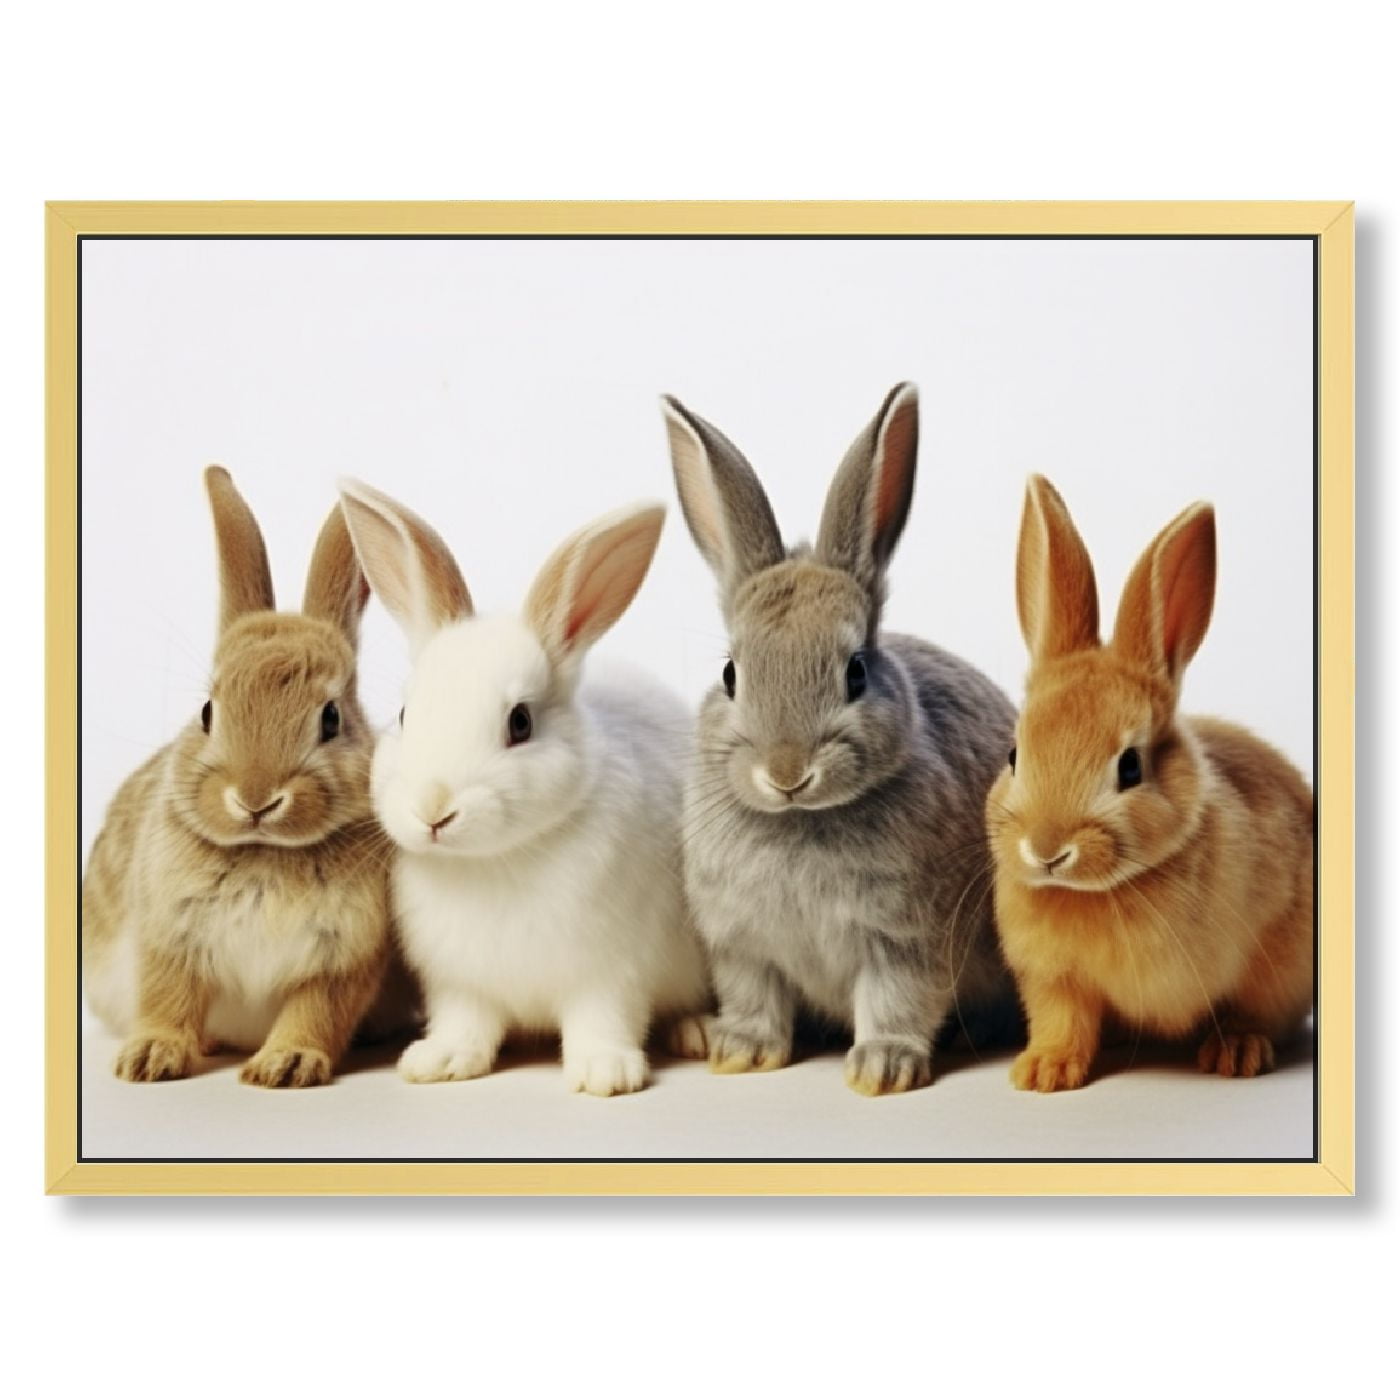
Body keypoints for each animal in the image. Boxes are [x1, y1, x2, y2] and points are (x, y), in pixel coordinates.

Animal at [82, 467, 404, 1088]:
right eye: (208, 712)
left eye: (331, 719)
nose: (255, 799)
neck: (265, 851)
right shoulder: (170, 938)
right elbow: (169, 998)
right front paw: (149, 1058)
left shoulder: (344, 958)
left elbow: (316, 1012)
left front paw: (286, 1065)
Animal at [337, 480, 711, 1097]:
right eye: (405, 714)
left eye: (520, 723)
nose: (434, 810)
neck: (496, 860)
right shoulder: (458, 982)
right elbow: (464, 1022)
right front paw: (437, 1061)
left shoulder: (610, 972)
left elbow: (603, 1019)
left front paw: (605, 1073)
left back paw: (697, 1030)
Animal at [660, 383, 1020, 1095]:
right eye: (731, 674)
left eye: (855, 671)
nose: (787, 772)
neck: (800, 821)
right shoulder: (743, 948)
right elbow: (756, 1000)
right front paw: (743, 1052)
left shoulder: (905, 941)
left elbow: (895, 1002)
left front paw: (882, 1069)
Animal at [986, 475, 1314, 1092]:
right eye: (1015, 755)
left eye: (1131, 766)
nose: (1046, 851)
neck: (1101, 892)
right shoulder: (1055, 979)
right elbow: (1063, 1021)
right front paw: (1043, 1071)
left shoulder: (1271, 956)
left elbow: (1251, 1008)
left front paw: (1236, 1052)